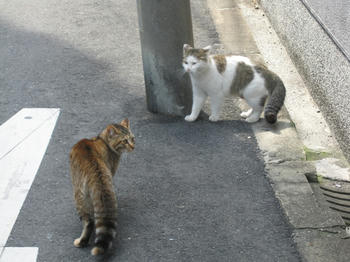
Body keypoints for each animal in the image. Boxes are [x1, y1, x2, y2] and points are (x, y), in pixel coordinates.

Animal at [69, 119, 134, 256]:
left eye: (132, 138)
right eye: (125, 141)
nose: (133, 146)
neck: (102, 140)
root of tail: (95, 168)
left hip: (78, 195)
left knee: (89, 222)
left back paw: (81, 241)